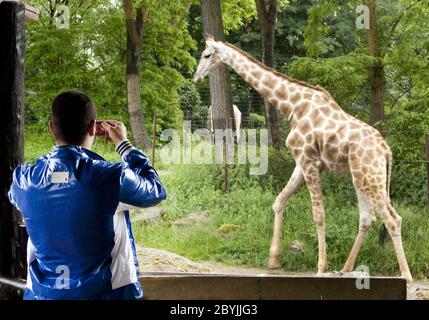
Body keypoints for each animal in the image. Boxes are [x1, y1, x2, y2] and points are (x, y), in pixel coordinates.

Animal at [193, 33, 412, 282]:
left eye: (206, 55)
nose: (196, 77)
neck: (292, 106)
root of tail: (386, 150)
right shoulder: (300, 163)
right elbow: (279, 201)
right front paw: (273, 259)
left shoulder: (309, 161)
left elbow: (318, 214)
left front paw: (320, 267)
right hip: (361, 177)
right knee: (368, 218)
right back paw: (346, 268)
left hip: (371, 177)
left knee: (392, 219)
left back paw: (406, 276)